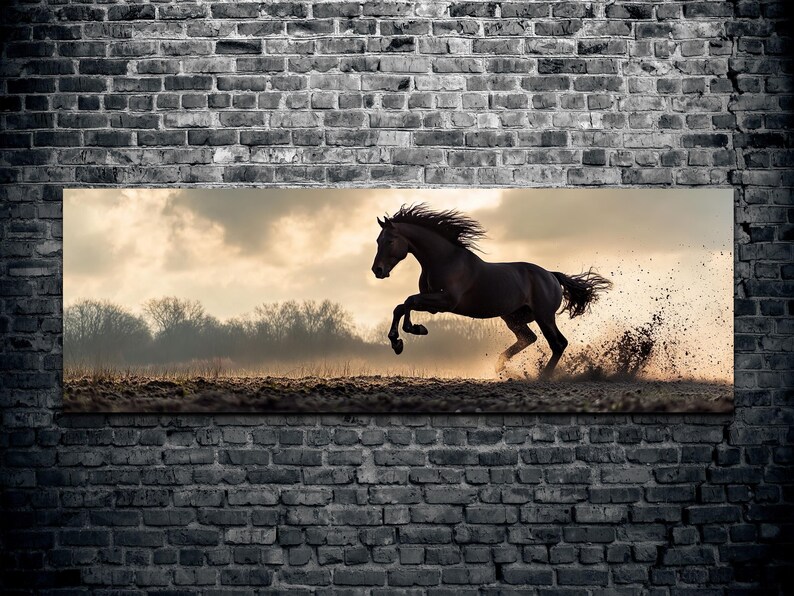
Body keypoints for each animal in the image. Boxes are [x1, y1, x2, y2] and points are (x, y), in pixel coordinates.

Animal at [370, 204, 612, 378]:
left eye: (390, 241)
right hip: (514, 317)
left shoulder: (446, 300)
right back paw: (500, 366)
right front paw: (401, 338)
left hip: (544, 316)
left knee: (558, 343)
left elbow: (408, 301)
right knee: (529, 338)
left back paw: (542, 376)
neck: (444, 260)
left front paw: (408, 333)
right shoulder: (433, 304)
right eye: (377, 240)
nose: (377, 270)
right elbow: (402, 305)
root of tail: (551, 275)